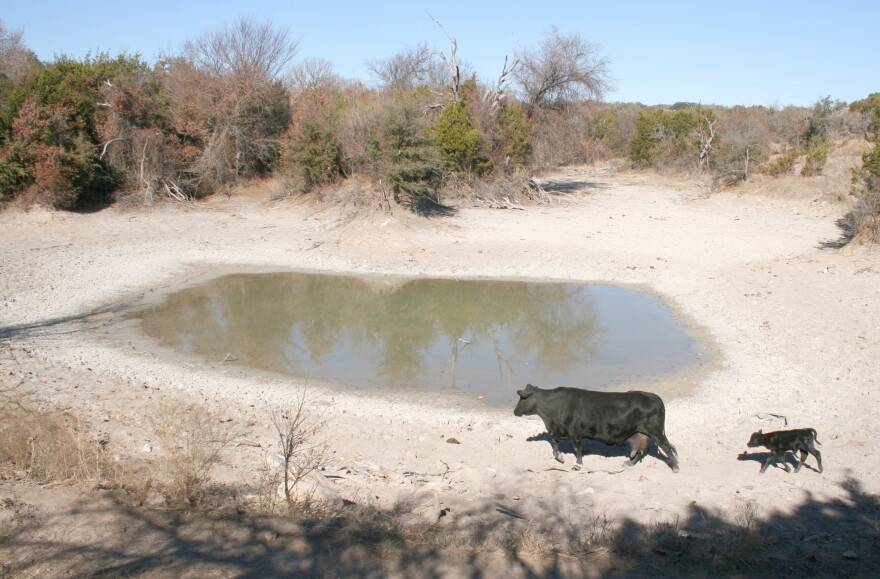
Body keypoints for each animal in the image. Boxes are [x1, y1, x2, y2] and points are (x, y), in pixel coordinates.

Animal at [513, 383, 679, 472]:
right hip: (639, 434)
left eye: (522, 398)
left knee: (667, 447)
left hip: (656, 432)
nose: (515, 411)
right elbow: (554, 442)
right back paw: (629, 463)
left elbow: (577, 449)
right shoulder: (562, 431)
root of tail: (654, 397)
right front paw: (559, 457)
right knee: (640, 450)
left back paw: (675, 466)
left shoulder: (575, 433)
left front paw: (578, 465)